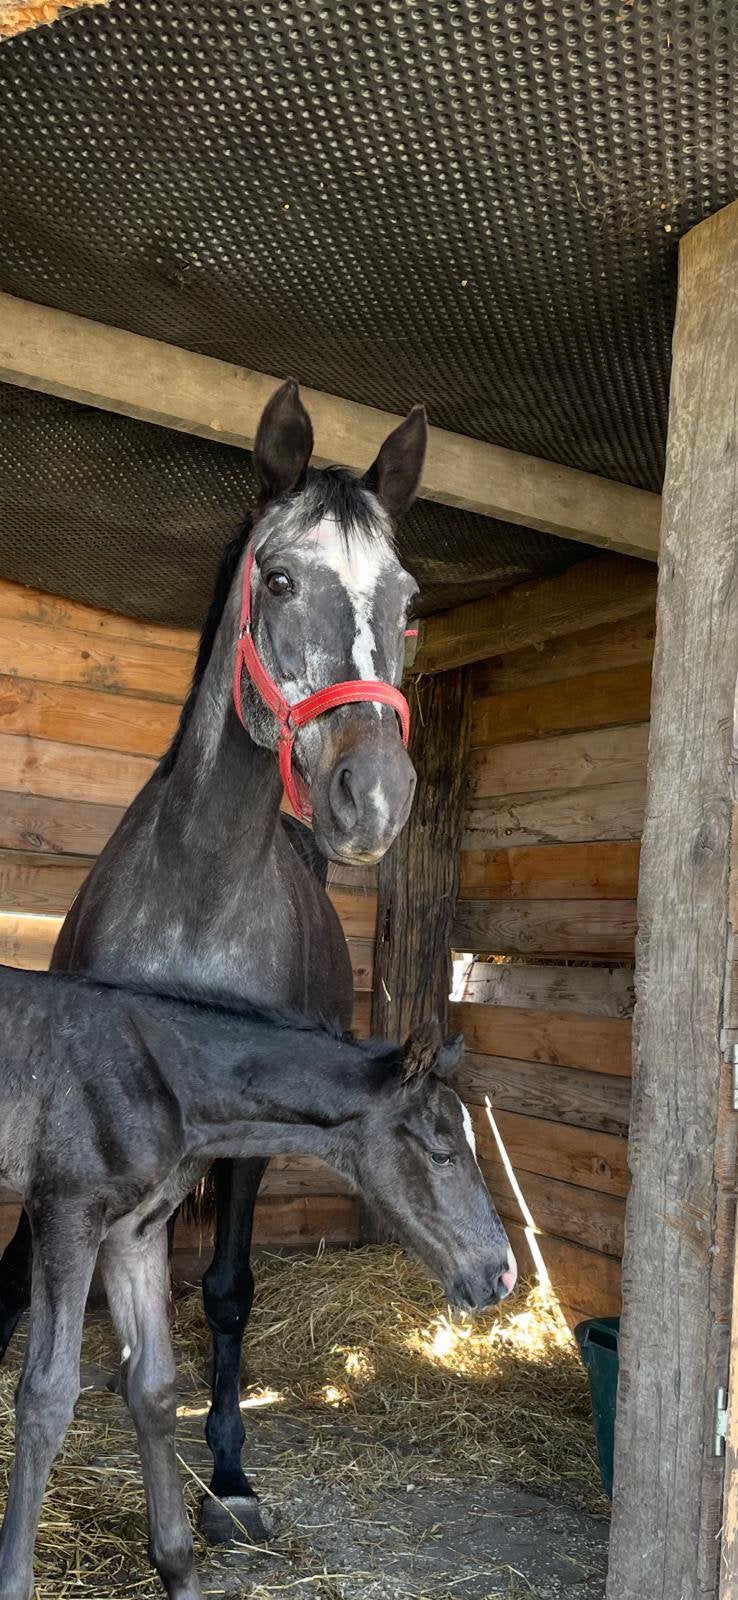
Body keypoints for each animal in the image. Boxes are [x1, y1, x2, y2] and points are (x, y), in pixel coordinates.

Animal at [0, 380, 428, 1541]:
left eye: (408, 603)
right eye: (278, 579)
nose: (374, 799)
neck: (197, 902)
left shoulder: (246, 1138)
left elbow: (227, 1290)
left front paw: (228, 1470)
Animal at [0, 962, 517, 1600]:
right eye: (443, 1154)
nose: (502, 1274)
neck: (163, 1079)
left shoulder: (135, 1229)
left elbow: (152, 1388)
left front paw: (178, 1570)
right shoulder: (65, 1210)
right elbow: (46, 1396)